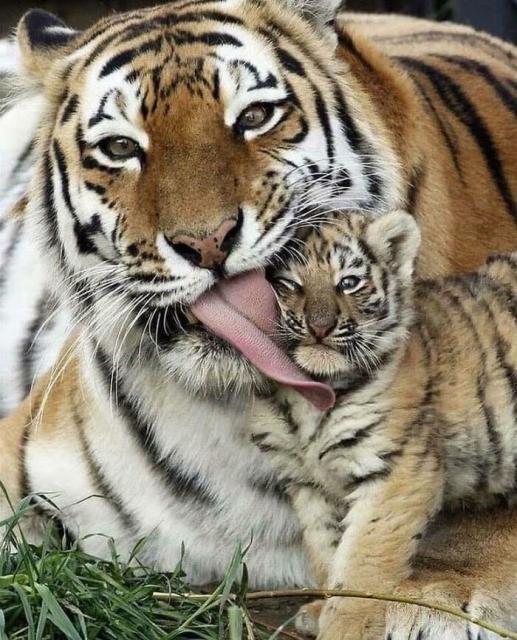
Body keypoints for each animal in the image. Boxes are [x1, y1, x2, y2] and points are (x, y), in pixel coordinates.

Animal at [250, 210, 517, 639]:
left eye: (348, 282)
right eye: (288, 283)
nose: (319, 327)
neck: (310, 391)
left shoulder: (398, 469)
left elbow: (364, 564)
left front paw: (346, 629)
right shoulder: (307, 482)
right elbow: (327, 551)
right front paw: (320, 611)